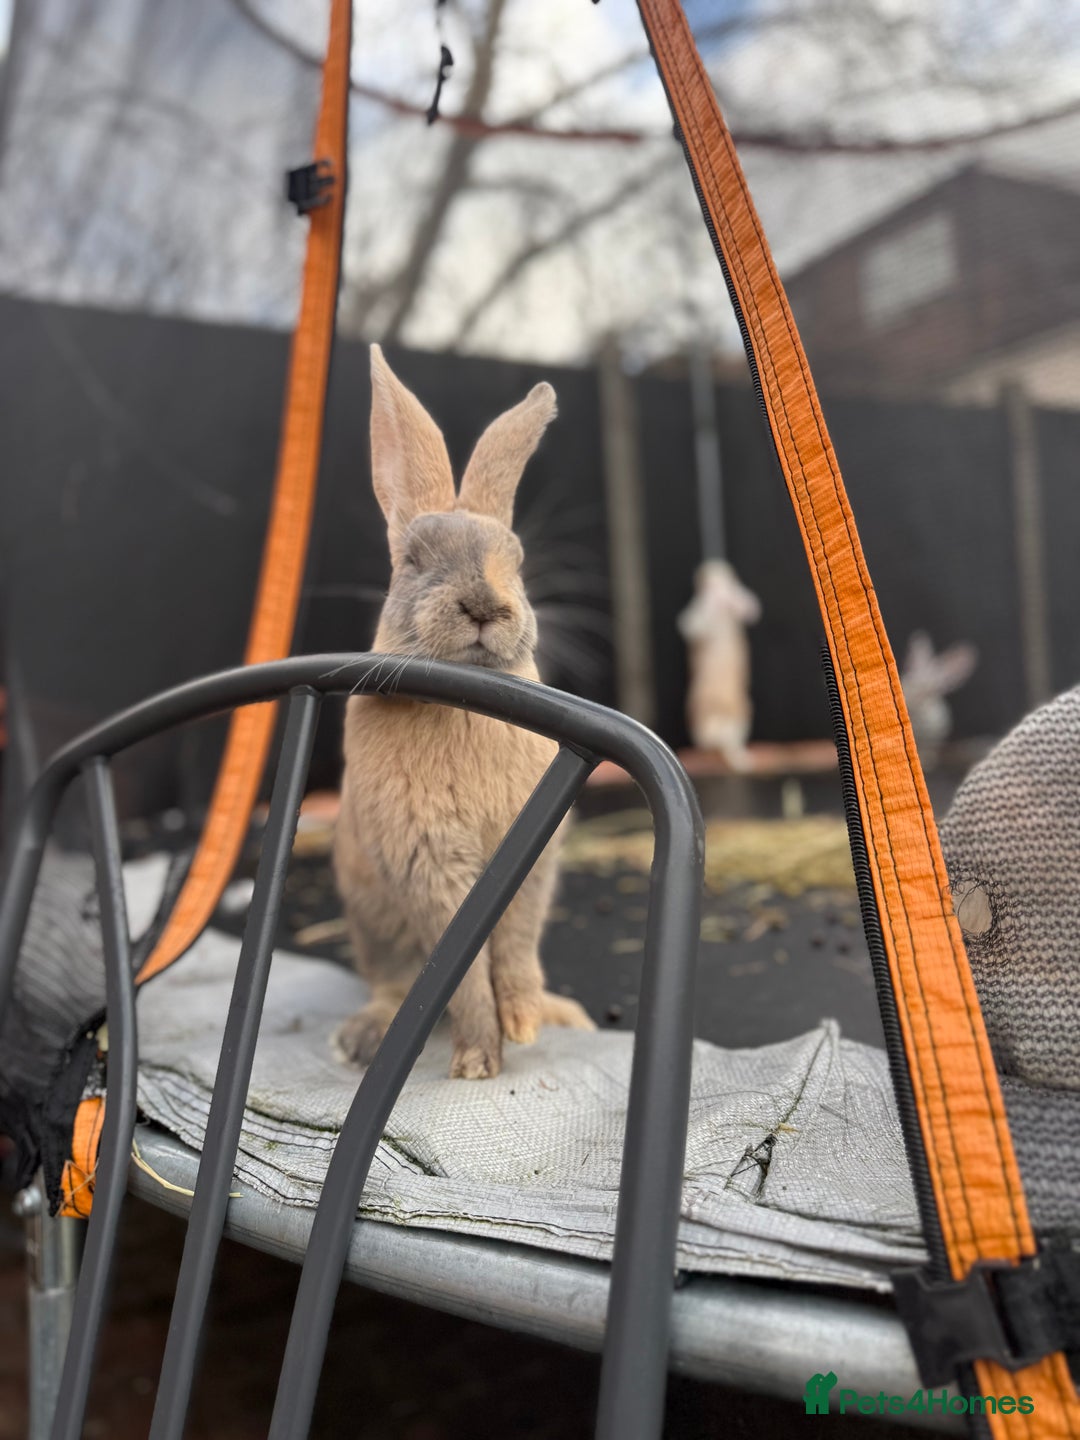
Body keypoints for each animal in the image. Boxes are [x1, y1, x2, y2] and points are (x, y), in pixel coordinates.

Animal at [332, 346, 594, 1080]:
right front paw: (479, 1060)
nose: (483, 605)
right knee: (395, 984)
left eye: (518, 560)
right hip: (375, 927)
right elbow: (463, 972)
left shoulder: (530, 868)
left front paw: (525, 1023)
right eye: (412, 561)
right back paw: (362, 1038)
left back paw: (565, 1016)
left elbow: (515, 949)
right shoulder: (429, 866)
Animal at [677, 559, 761, 772]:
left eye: (729, 575)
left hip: (741, 713)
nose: (711, 572)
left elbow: (749, 607)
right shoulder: (696, 615)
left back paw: (742, 759)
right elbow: (692, 623)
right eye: (704, 579)